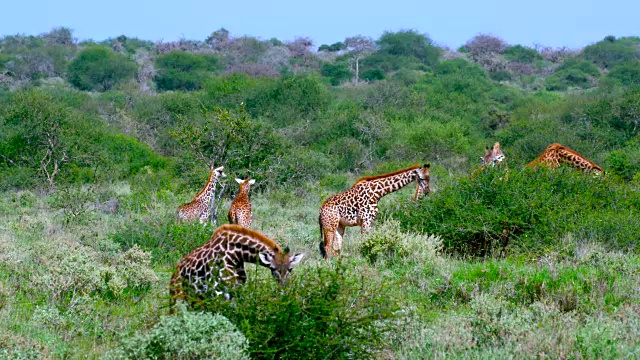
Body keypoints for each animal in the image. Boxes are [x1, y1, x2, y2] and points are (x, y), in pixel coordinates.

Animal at [170, 225, 304, 306]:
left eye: (290, 269)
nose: (283, 290)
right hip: (178, 298)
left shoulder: (236, 288)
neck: (236, 254)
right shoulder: (219, 291)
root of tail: (174, 273)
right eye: (273, 269)